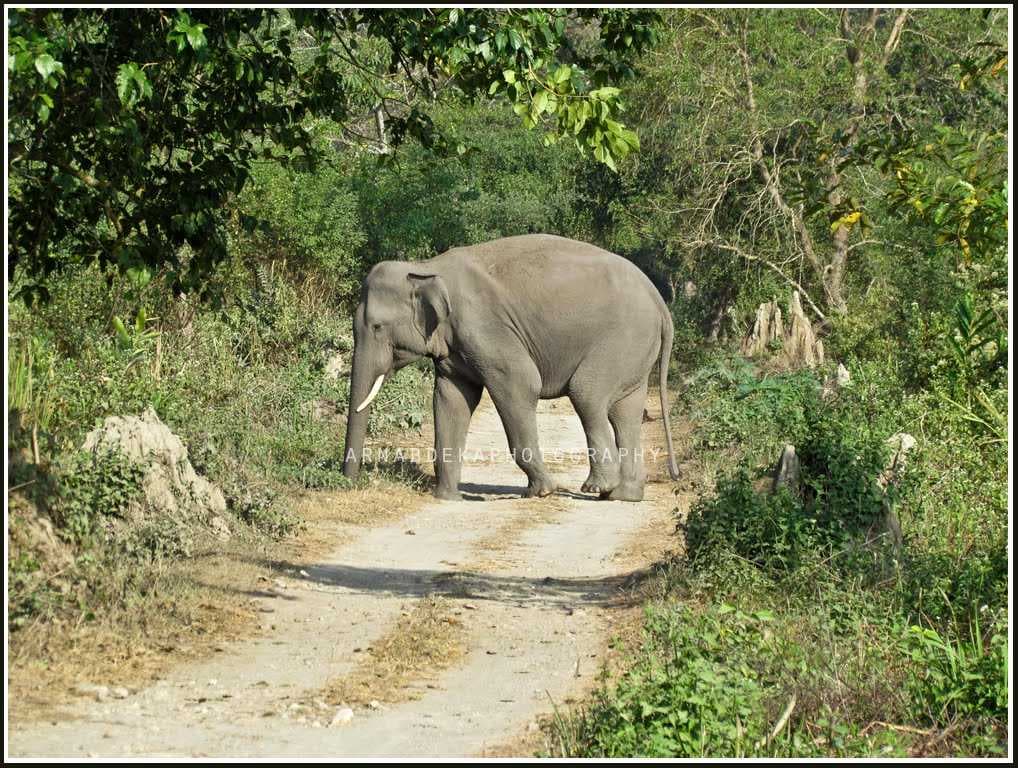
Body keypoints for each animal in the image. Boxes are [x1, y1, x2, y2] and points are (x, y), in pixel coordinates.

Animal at [341, 233, 680, 502]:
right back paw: (624, 495)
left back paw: (597, 488)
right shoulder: (455, 347)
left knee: (587, 394)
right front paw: (448, 498)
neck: (426, 268)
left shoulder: (486, 328)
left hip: (621, 338)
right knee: (625, 412)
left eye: (377, 327)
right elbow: (452, 399)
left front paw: (543, 491)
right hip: (635, 350)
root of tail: (660, 303)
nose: (351, 482)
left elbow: (521, 384)